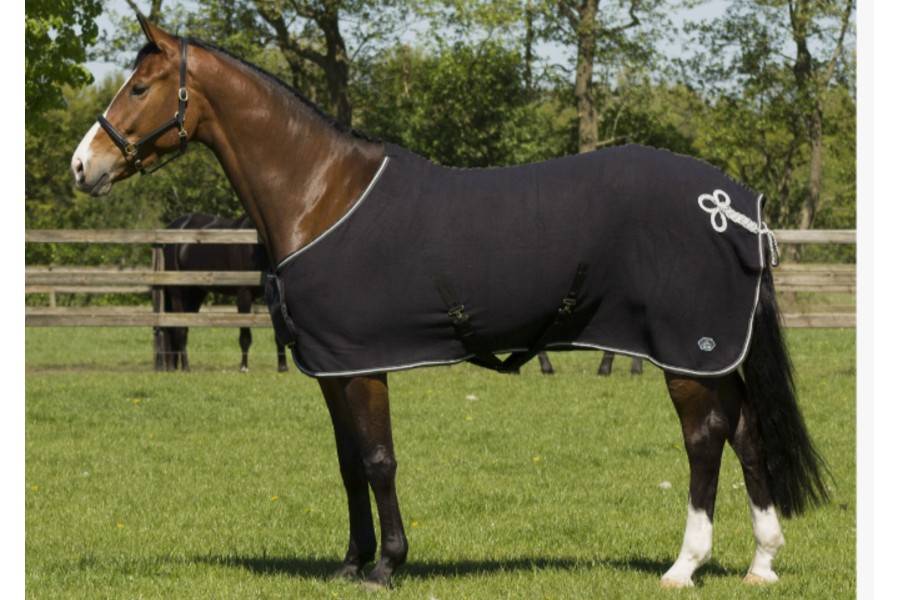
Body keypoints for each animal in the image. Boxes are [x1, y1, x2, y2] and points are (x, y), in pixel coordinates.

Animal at [158, 212, 288, 372]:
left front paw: (282, 367)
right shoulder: (244, 293)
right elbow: (245, 335)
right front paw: (244, 367)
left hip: (194, 294)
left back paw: (175, 367)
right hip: (177, 292)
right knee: (179, 328)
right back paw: (186, 367)